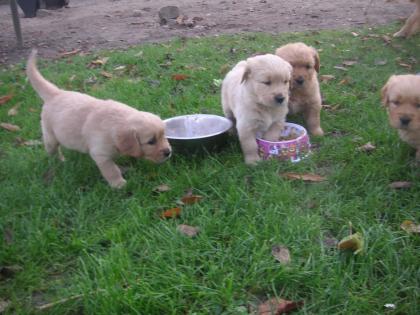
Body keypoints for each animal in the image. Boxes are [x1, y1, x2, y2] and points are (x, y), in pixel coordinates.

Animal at [26, 48, 171, 189]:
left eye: (163, 135)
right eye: (151, 141)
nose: (168, 152)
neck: (117, 124)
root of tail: (56, 93)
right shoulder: (101, 155)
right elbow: (112, 170)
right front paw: (119, 184)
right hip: (50, 136)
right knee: (52, 150)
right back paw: (58, 161)